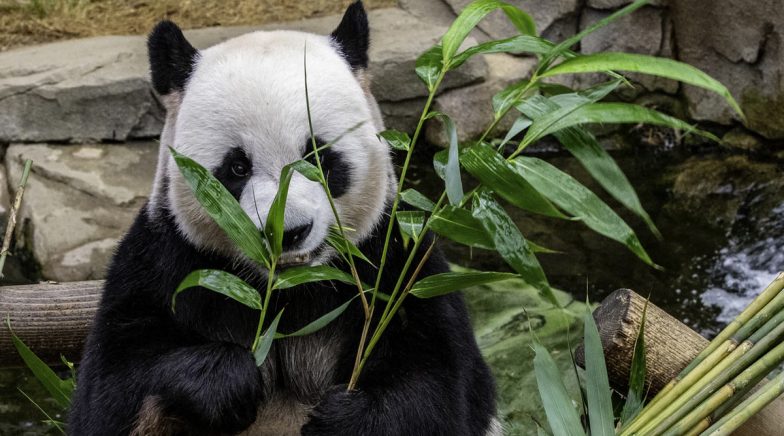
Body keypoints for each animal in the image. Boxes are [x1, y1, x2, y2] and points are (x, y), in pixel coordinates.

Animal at [67, 1, 496, 434]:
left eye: (318, 156)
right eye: (237, 168)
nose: (287, 233)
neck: (290, 289)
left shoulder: (396, 262)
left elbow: (434, 385)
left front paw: (344, 417)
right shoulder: (166, 259)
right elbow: (114, 383)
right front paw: (227, 381)